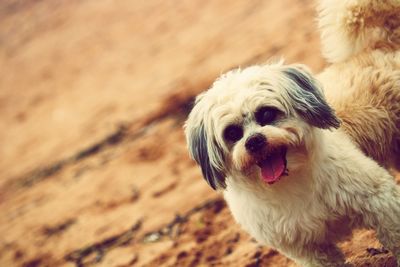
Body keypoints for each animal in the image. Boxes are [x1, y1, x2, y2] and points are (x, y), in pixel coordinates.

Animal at [185, 0, 400, 267]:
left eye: (267, 113)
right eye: (232, 133)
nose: (254, 141)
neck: (291, 182)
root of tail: (383, 40)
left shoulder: (379, 201)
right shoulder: (308, 250)